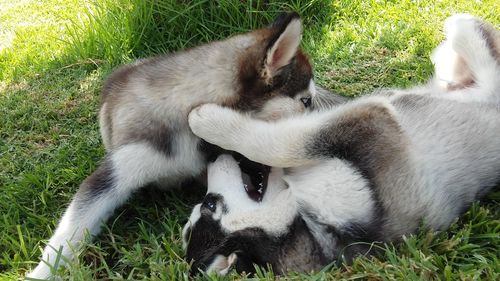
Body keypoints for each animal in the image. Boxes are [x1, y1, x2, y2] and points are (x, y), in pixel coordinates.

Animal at [183, 14, 500, 274]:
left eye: (208, 204)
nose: (214, 159)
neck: (304, 215)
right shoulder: (372, 120)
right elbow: (286, 142)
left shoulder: (368, 121)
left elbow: (283, 143)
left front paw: (207, 120)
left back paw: (455, 26)